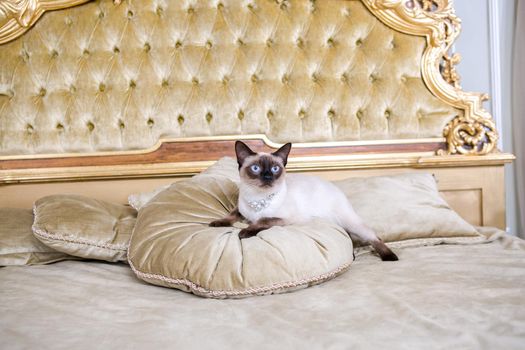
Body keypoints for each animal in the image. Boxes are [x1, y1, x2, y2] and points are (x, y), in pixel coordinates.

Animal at [209, 141, 398, 262]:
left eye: (275, 168)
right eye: (255, 168)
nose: (268, 176)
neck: (258, 199)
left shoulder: (284, 219)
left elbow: (262, 221)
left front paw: (245, 232)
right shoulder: (241, 209)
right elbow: (231, 214)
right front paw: (217, 223)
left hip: (350, 222)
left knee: (374, 237)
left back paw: (389, 257)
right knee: (349, 237)